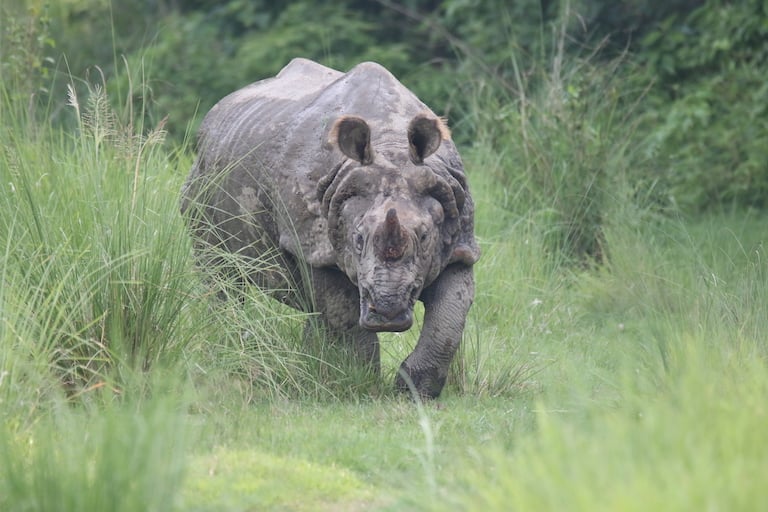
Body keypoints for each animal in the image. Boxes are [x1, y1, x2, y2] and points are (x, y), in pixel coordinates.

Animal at [181, 58, 480, 398]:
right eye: (358, 239)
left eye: (426, 236)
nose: (387, 313)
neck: (391, 146)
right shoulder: (314, 246)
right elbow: (343, 312)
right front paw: (363, 383)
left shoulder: (459, 243)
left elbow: (449, 319)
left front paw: (414, 392)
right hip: (203, 179)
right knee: (221, 276)